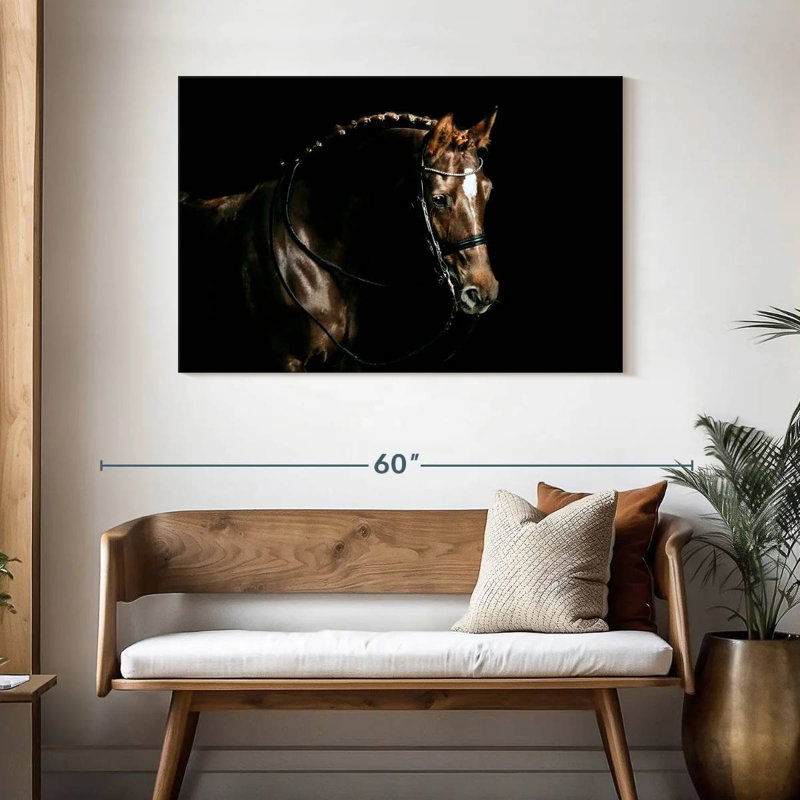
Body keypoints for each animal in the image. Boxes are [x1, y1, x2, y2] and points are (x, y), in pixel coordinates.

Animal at [179, 110, 500, 372]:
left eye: (488, 190)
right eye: (439, 199)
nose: (483, 291)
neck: (312, 248)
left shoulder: (342, 360)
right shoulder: (288, 361)